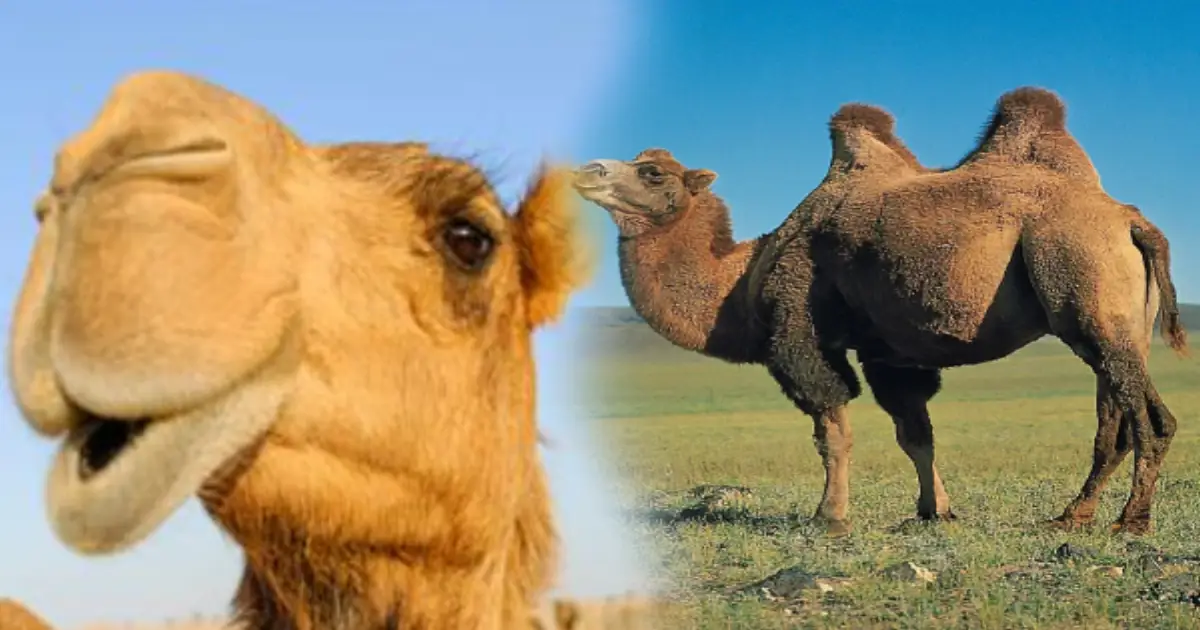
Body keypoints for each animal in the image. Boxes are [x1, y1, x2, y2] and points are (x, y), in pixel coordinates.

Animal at [572, 86, 1189, 537]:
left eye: (652, 172)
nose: (586, 170)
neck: (739, 280)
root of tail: (1133, 221)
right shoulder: (886, 353)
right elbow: (914, 432)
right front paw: (935, 510)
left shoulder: (801, 331)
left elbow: (832, 428)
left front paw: (830, 517)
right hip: (1115, 321)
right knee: (1112, 421)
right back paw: (1071, 516)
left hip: (1082, 286)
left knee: (1149, 418)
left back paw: (1130, 522)